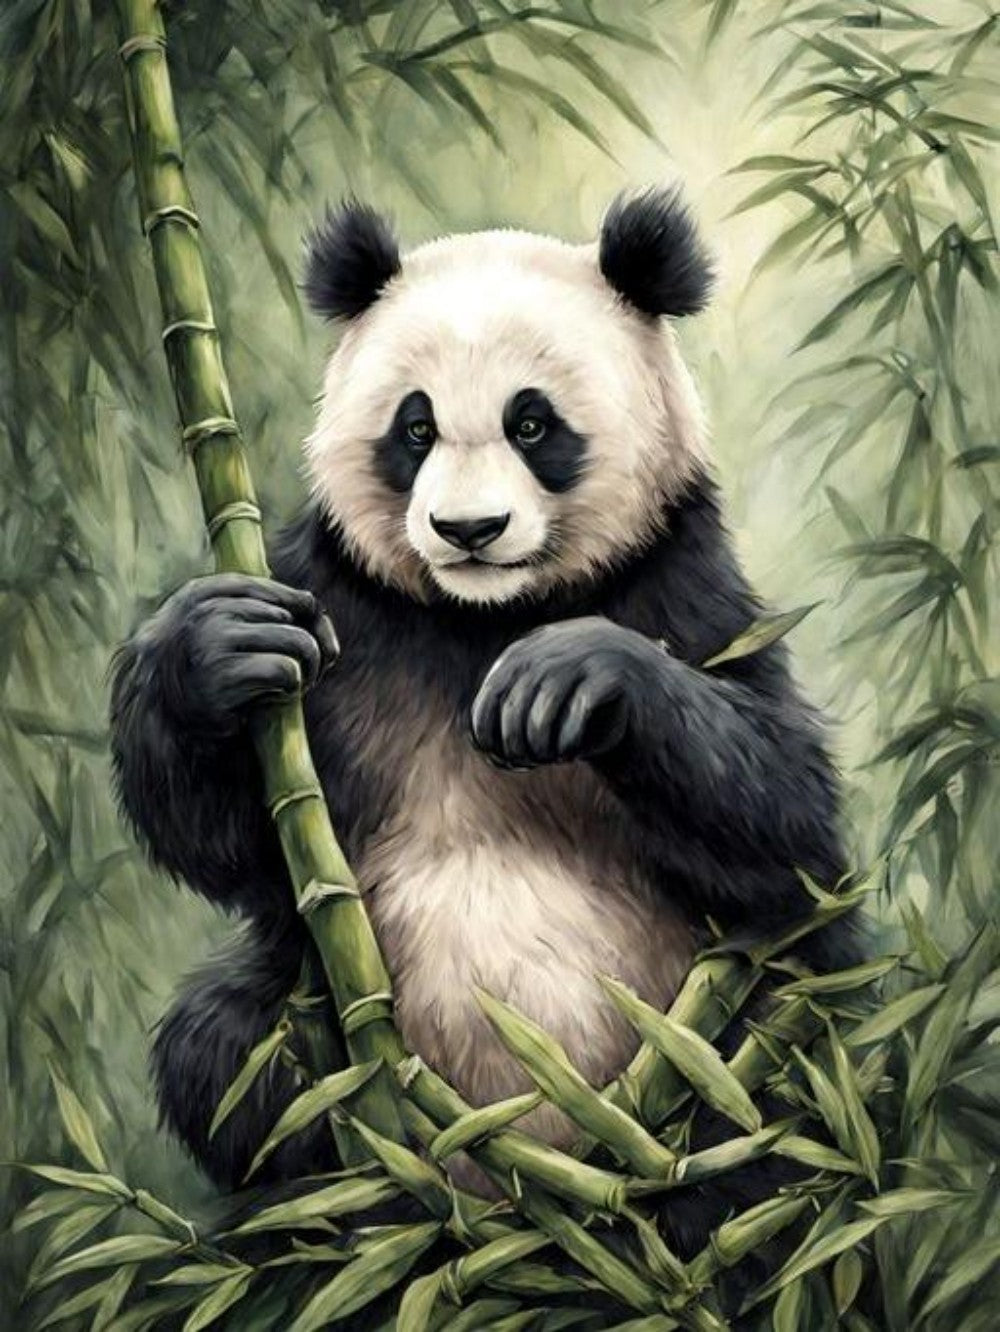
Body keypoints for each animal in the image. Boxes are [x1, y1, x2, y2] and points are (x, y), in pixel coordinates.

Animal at [110, 187, 857, 1250]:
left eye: (533, 423)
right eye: (414, 428)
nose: (469, 531)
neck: (479, 618)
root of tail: (520, 1210)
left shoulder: (683, 582)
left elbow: (791, 821)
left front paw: (564, 682)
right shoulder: (342, 610)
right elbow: (236, 846)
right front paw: (216, 646)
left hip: (728, 1046)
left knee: (799, 1061)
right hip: (318, 1028)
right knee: (227, 1056)